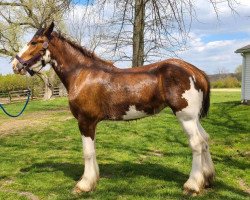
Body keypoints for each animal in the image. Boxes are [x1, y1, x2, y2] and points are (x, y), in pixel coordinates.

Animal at [11, 22, 215, 195]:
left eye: (34, 42)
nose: (15, 65)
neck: (82, 74)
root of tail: (196, 71)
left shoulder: (85, 121)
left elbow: (87, 152)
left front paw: (84, 185)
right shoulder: (91, 123)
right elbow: (92, 151)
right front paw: (93, 180)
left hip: (185, 117)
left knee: (196, 143)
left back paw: (192, 185)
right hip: (193, 118)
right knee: (205, 140)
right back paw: (207, 179)